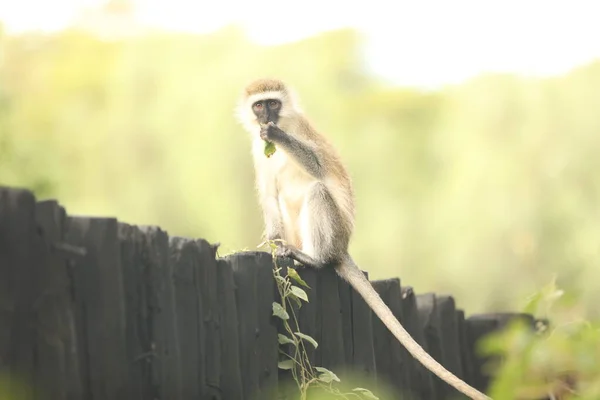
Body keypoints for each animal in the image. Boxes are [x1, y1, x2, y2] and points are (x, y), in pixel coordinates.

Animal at [234, 79, 492, 400]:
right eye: (259, 105)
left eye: (273, 103)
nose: (267, 117)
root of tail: (341, 247)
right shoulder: (259, 152)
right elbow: (269, 196)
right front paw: (272, 245)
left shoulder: (299, 127)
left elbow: (318, 165)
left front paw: (277, 135)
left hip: (334, 233)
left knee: (318, 192)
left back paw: (313, 258)